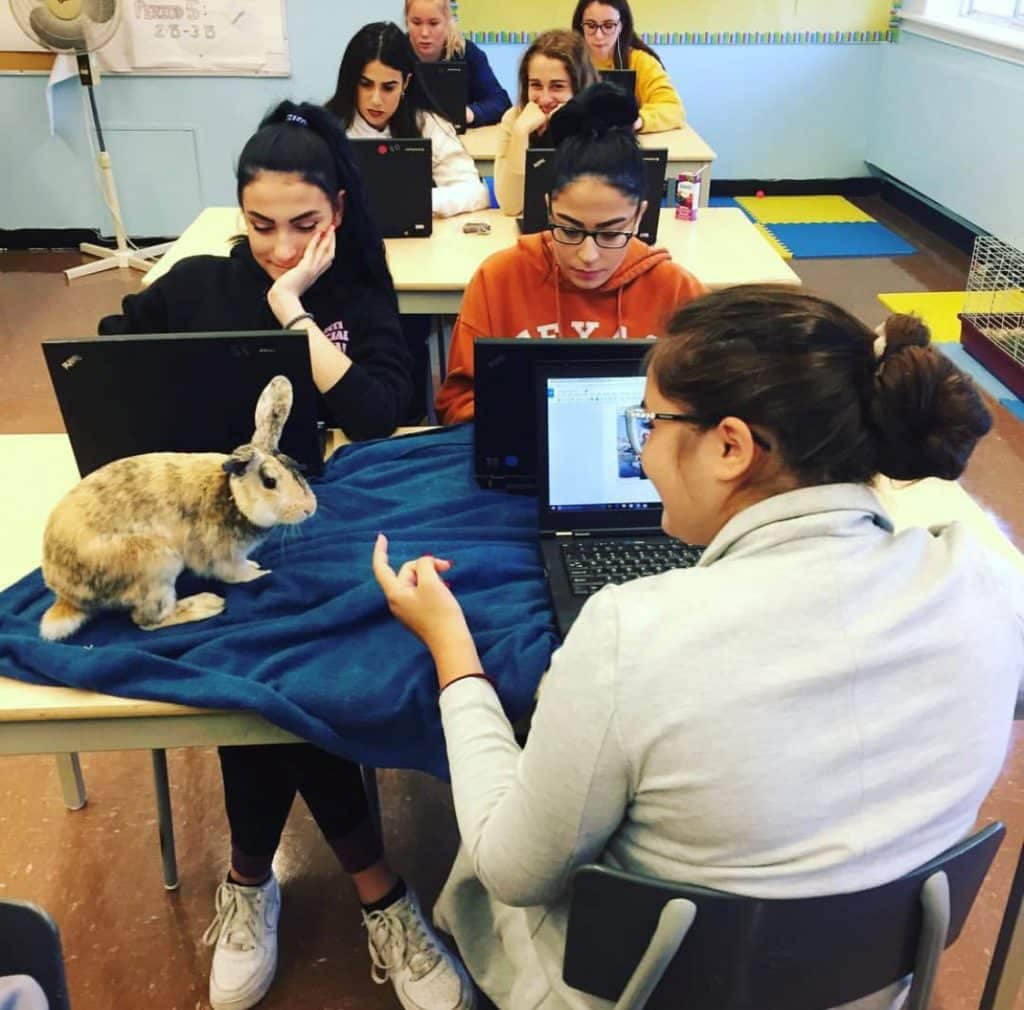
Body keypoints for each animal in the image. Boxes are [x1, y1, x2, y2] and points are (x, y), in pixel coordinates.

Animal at [38, 374, 315, 643]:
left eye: (295, 467)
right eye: (269, 481)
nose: (309, 509)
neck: (233, 495)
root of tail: (66, 594)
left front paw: (256, 565)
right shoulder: (222, 556)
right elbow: (235, 574)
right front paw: (260, 573)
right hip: (156, 565)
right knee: (148, 620)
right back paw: (208, 604)